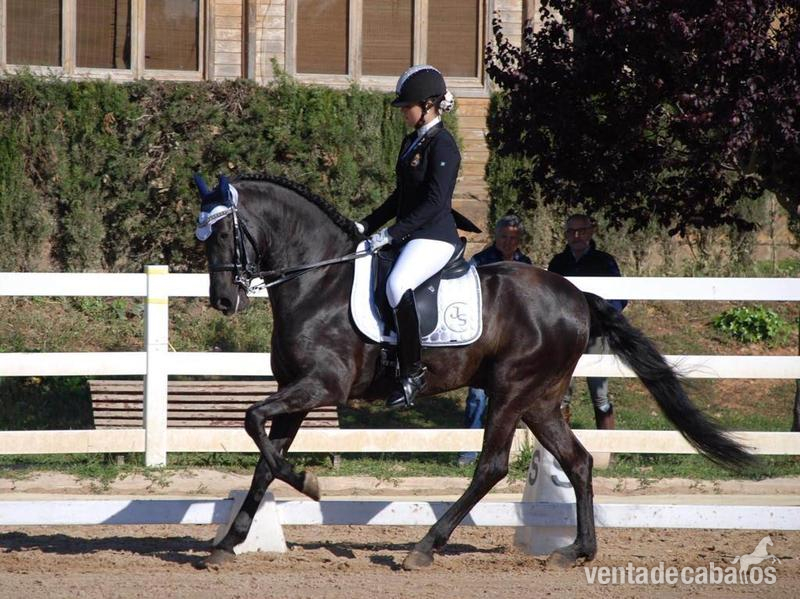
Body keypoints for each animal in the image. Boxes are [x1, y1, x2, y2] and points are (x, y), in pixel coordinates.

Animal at [195, 173, 754, 570]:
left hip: (511, 391)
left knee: (492, 465)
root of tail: (577, 295)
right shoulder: (295, 390)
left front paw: (309, 484)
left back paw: (425, 547)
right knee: (578, 462)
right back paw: (576, 551)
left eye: (223, 231)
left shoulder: (320, 386)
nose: (222, 301)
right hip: (540, 401)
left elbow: (252, 422)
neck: (319, 281)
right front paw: (230, 541)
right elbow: (264, 458)